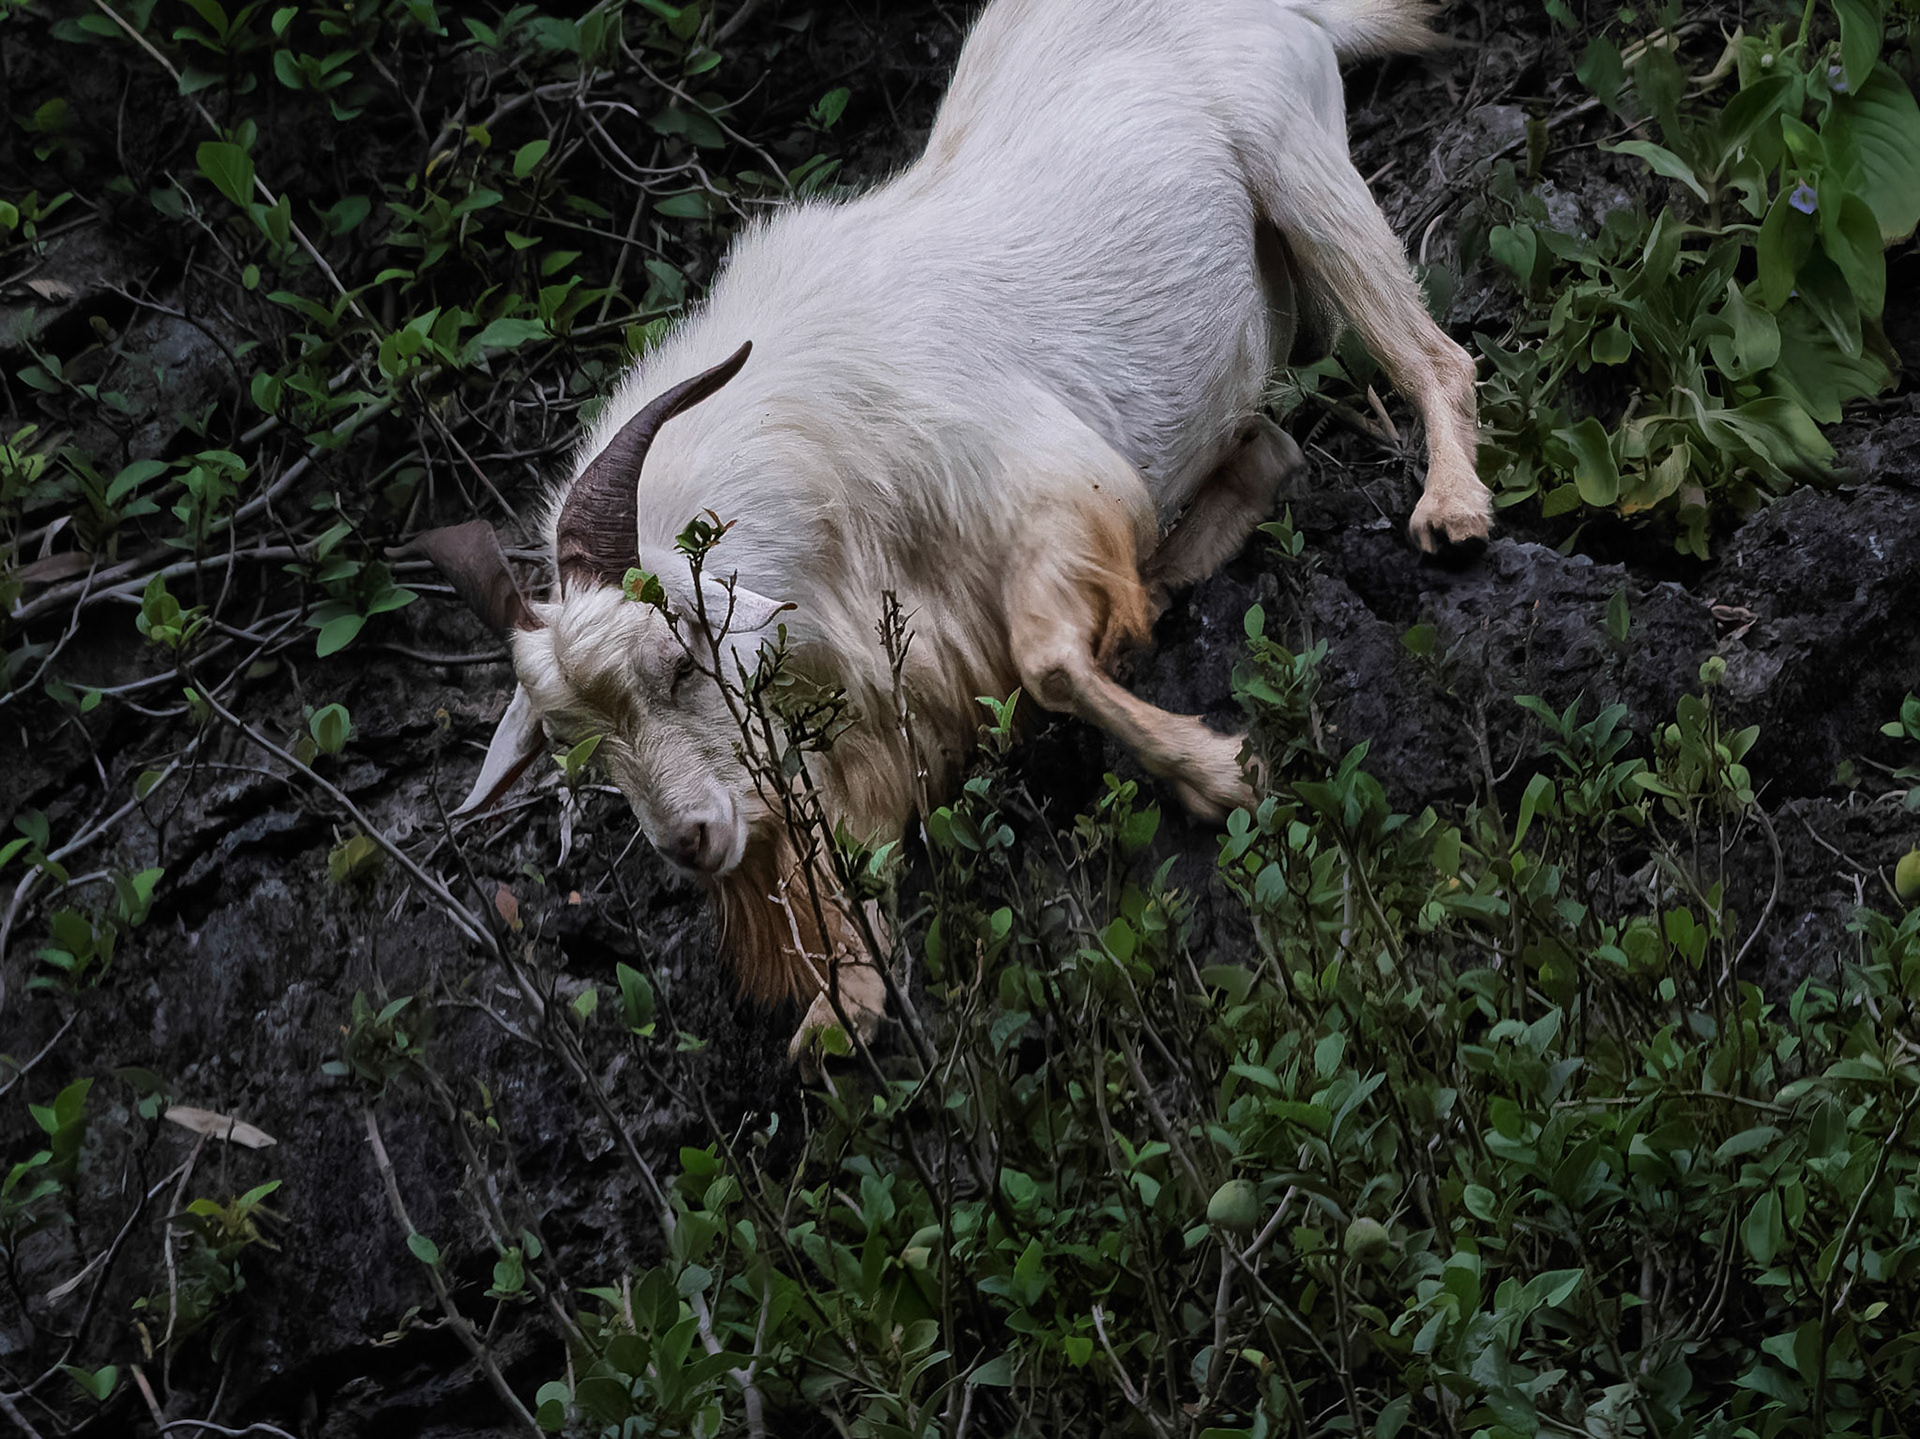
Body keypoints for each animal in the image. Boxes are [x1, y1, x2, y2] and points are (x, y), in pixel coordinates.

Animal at [422, 0, 1489, 1055]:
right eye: (577, 745)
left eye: (677, 661)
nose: (691, 842)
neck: (806, 444)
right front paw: (844, 1003)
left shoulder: (1044, 487)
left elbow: (1046, 662)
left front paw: (1222, 774)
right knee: (1271, 447)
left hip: (1305, 173)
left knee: (1433, 356)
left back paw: (1452, 511)